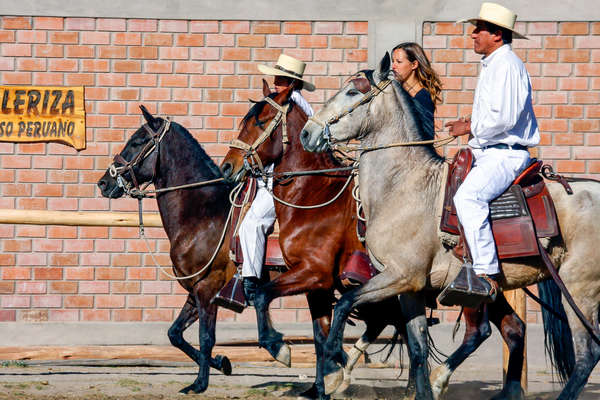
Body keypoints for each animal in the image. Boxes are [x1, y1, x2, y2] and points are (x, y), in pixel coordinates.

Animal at [97, 108, 236, 396]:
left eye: (138, 141)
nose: (104, 182)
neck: (205, 218)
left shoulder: (209, 288)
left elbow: (206, 337)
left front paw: (199, 384)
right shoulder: (196, 290)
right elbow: (175, 334)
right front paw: (221, 363)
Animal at [220, 82, 436, 400]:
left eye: (259, 122)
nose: (227, 167)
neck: (313, 197)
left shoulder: (314, 273)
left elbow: (261, 295)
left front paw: (278, 347)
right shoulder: (317, 286)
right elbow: (320, 334)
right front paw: (326, 381)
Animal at [302, 54, 600, 400]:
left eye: (352, 91)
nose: (307, 133)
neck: (404, 186)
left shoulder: (399, 276)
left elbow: (344, 304)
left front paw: (334, 367)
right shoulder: (411, 288)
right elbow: (417, 348)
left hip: (579, 289)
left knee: (587, 353)